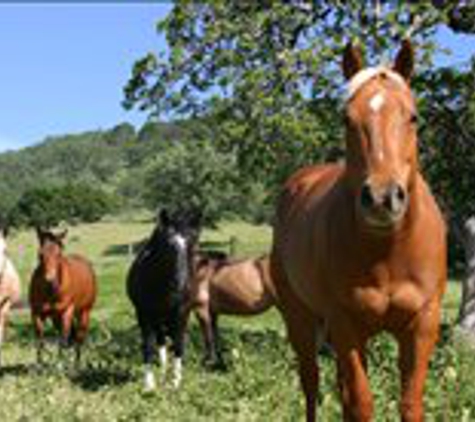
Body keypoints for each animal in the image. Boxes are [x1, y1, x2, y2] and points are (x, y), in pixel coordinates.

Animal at [29, 229, 97, 364]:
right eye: (40, 254)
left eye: (59, 254)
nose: (49, 280)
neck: (51, 293)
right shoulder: (37, 313)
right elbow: (40, 339)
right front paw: (39, 364)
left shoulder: (67, 312)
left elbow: (63, 338)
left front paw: (61, 363)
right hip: (56, 317)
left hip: (84, 312)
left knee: (79, 337)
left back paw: (77, 362)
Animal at [126, 209, 201, 390]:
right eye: (168, 245)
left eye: (193, 243)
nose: (181, 284)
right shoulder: (143, 313)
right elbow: (148, 345)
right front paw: (149, 384)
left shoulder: (182, 313)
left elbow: (178, 343)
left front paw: (176, 381)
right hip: (156, 317)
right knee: (160, 340)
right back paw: (162, 370)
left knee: (169, 339)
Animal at [270, 39, 448, 422]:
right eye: (346, 118)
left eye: (413, 117)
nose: (382, 197)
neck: (388, 251)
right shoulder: (345, 324)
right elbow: (361, 404)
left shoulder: (422, 326)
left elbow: (410, 404)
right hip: (300, 319)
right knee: (311, 383)